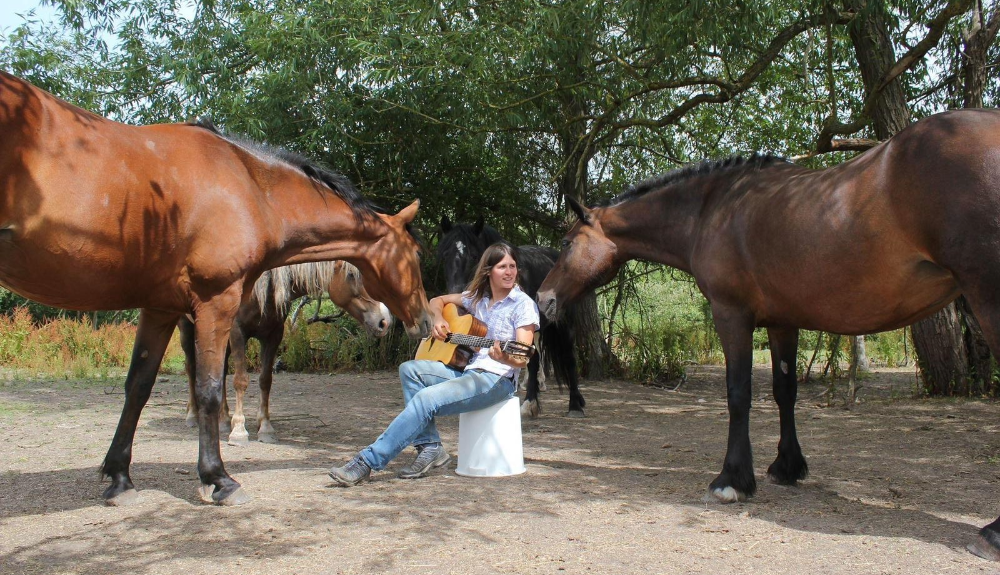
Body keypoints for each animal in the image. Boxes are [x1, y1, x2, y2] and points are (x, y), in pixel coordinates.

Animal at [182, 260, 392, 446]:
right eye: (351, 274)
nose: (384, 321)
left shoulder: (273, 334)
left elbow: (265, 380)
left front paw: (265, 428)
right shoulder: (237, 332)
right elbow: (240, 380)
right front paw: (239, 431)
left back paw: (224, 419)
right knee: (191, 368)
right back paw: (193, 416)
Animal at [440, 216, 584, 418]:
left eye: (474, 256)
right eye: (445, 255)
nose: (457, 293)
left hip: (564, 326)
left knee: (568, 359)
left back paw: (574, 405)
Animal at [540, 108, 1000, 560]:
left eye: (565, 243)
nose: (544, 299)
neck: (711, 208)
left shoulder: (731, 316)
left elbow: (738, 394)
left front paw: (732, 480)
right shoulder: (783, 322)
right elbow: (784, 392)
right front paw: (787, 467)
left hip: (986, 296)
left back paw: (991, 533)